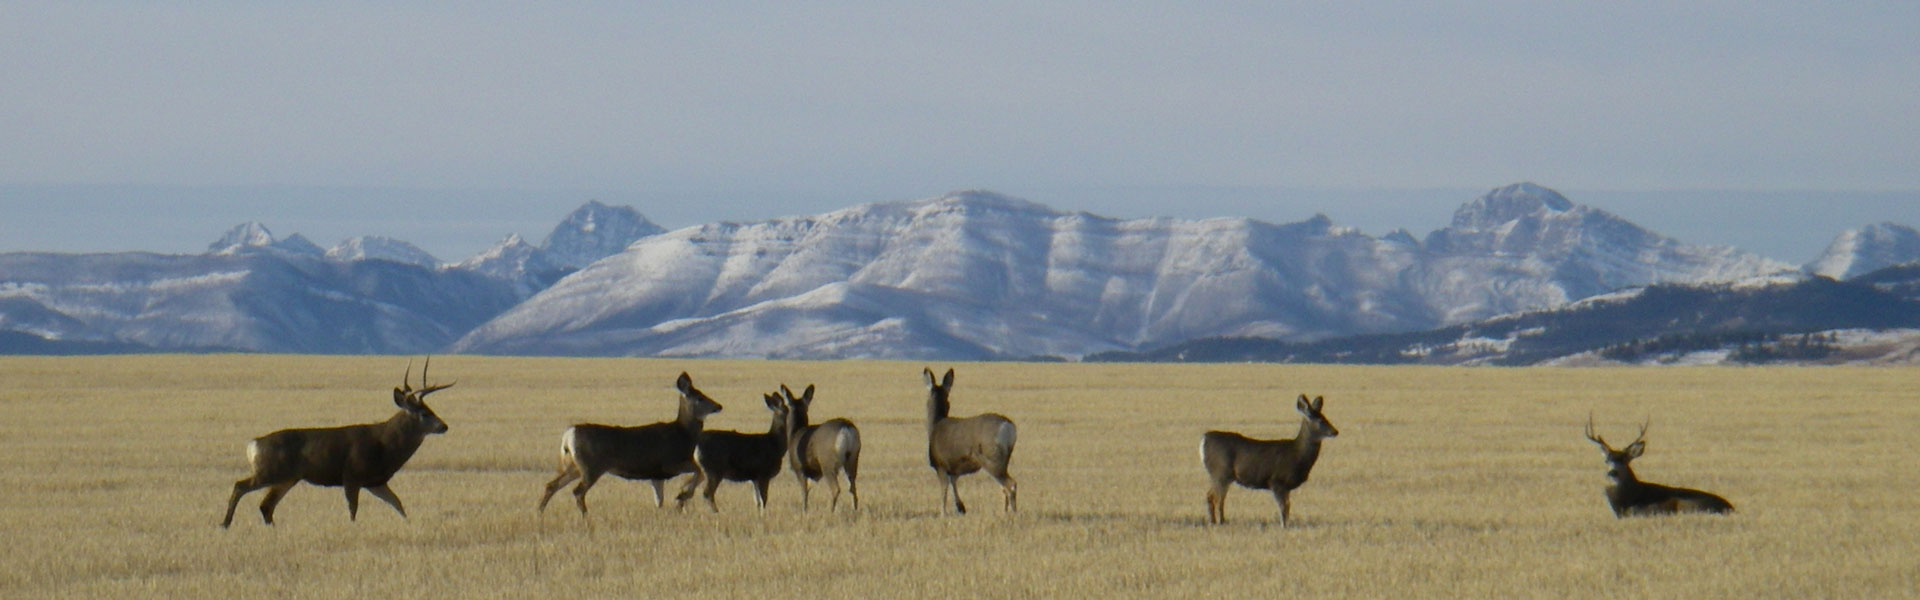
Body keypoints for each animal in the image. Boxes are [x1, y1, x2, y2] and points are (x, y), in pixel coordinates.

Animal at [220, 357, 453, 526]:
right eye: (424, 413)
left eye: (431, 409)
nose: (444, 426)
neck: (385, 446)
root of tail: (253, 444)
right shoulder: (352, 474)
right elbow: (353, 510)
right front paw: (353, 528)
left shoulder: (376, 481)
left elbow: (398, 505)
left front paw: (409, 524)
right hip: (269, 471)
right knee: (240, 486)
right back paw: (225, 523)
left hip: (288, 477)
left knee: (266, 505)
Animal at [917, 365, 1013, 515]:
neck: (935, 425)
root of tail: (1008, 427)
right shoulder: (954, 468)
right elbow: (953, 482)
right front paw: (960, 507)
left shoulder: (940, 465)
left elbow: (944, 491)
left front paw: (943, 513)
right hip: (1003, 460)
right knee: (1004, 487)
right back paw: (1005, 511)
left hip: (992, 458)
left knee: (1010, 485)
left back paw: (1013, 512)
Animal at [1198, 396, 1336, 526]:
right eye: (1320, 420)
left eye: (1326, 417)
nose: (1335, 431)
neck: (1296, 455)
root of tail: (1205, 438)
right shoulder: (1277, 481)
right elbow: (1283, 508)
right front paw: (1283, 526)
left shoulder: (1286, 487)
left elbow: (1287, 507)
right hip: (1220, 472)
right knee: (1212, 496)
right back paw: (1216, 522)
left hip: (1224, 476)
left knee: (1218, 498)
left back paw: (1220, 521)